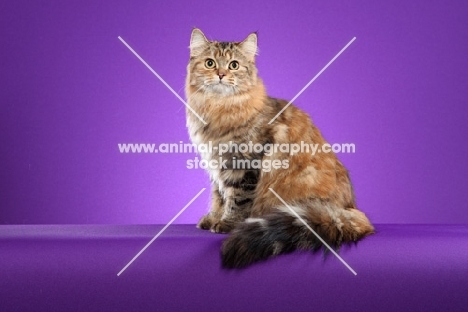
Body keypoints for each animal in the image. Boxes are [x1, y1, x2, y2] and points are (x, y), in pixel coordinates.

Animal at [185, 28, 374, 268]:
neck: (218, 108)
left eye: (234, 65)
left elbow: (237, 198)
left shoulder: (244, 163)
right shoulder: (216, 163)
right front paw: (213, 218)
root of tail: (350, 210)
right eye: (210, 63)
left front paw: (228, 223)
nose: (220, 74)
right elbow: (218, 196)